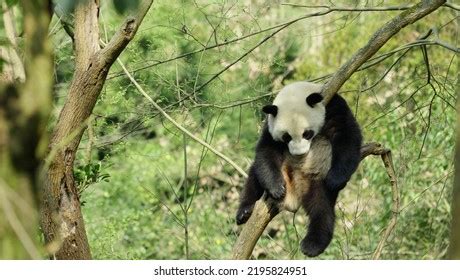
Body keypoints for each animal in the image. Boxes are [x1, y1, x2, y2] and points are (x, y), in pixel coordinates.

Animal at [237, 81, 362, 258]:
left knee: (321, 208)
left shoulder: (334, 106)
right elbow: (266, 151)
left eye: (307, 134)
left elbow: (347, 136)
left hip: (316, 178)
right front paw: (276, 189)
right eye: (286, 137)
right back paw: (244, 212)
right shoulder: (270, 126)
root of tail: (294, 196)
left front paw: (335, 180)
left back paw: (312, 245)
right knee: (254, 175)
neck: (296, 92)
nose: (299, 154)